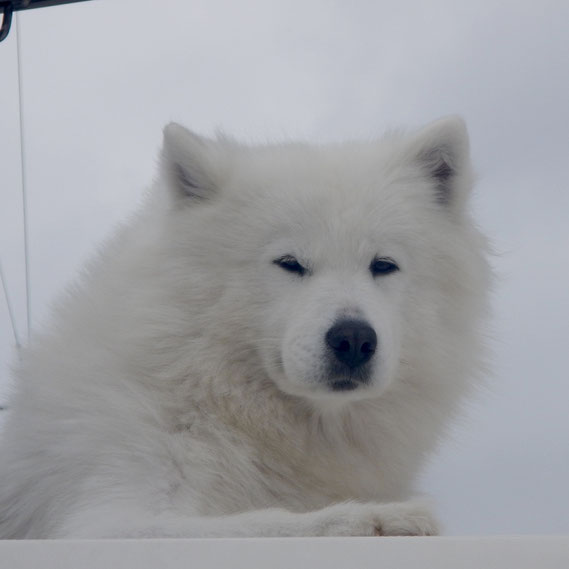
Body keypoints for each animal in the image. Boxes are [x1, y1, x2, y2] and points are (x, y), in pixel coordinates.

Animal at [0, 116, 488, 536]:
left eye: (383, 265)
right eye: (289, 263)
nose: (353, 338)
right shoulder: (113, 512)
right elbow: (270, 522)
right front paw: (373, 518)